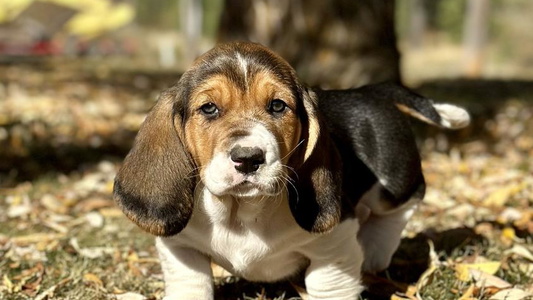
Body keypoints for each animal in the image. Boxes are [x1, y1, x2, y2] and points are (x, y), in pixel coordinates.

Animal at [114, 41, 468, 298]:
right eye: (209, 108)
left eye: (277, 106)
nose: (248, 158)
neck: (242, 213)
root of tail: (367, 91)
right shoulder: (180, 249)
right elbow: (192, 284)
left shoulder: (334, 248)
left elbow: (328, 286)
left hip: (392, 182)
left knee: (404, 202)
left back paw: (375, 247)